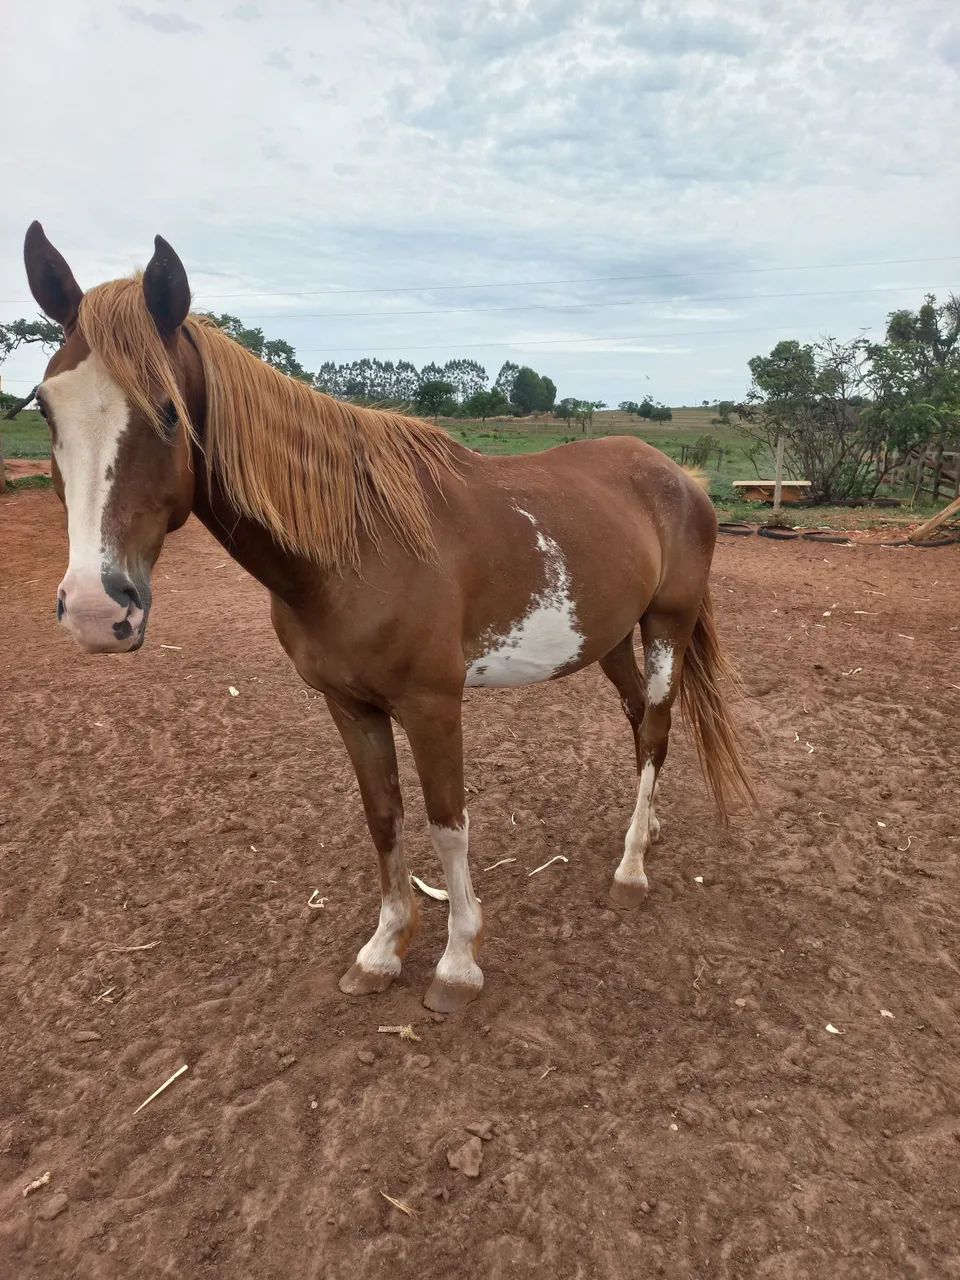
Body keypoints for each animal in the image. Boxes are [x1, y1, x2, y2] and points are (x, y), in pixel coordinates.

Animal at [23, 222, 753, 1013]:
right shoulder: (349, 704)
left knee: (656, 727)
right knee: (640, 720)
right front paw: (382, 952)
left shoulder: (433, 705)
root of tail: (680, 476)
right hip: (610, 635)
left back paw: (630, 872)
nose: (96, 610)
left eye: (166, 410)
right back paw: (645, 831)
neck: (357, 545)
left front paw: (457, 964)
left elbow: (448, 825)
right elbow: (384, 817)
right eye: (44, 407)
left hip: (667, 625)